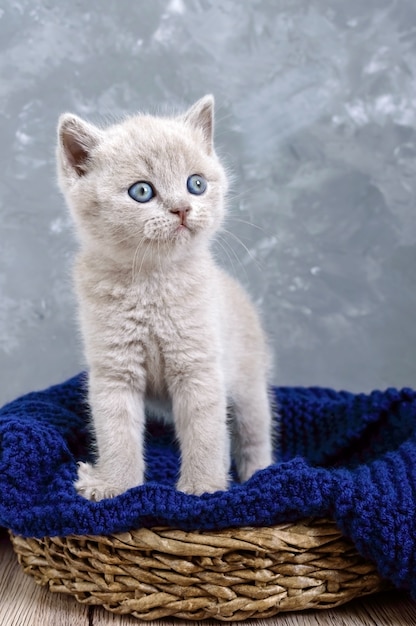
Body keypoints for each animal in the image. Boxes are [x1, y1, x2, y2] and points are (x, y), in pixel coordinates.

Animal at [57, 95, 274, 500]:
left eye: (196, 184)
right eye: (141, 191)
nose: (182, 208)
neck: (151, 283)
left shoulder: (198, 366)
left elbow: (205, 431)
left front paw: (202, 487)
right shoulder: (114, 369)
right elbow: (117, 432)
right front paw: (115, 485)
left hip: (250, 381)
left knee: (254, 433)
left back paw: (260, 474)